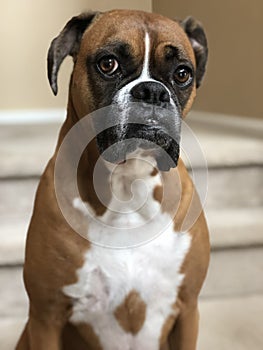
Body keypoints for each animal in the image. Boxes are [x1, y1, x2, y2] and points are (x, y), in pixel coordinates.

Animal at [16, 8, 210, 350]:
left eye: (182, 73)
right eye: (108, 64)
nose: (152, 91)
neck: (127, 186)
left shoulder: (188, 311)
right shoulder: (45, 317)